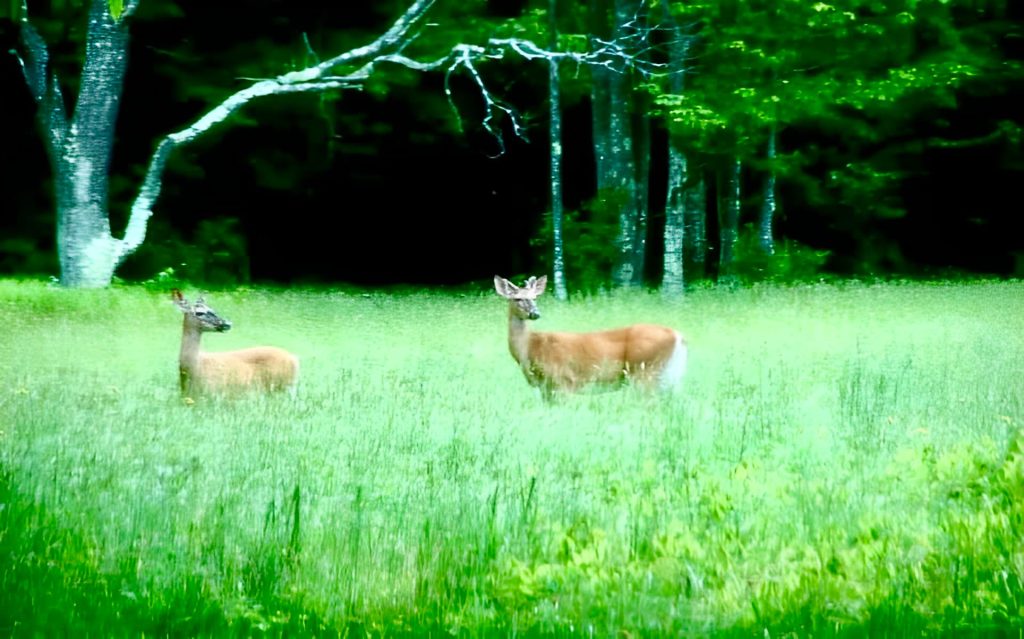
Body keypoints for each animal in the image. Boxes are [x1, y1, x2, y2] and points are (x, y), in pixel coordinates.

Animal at [493, 274, 688, 399]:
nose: (535, 313)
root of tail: (678, 336)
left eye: (535, 297)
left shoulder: (563, 381)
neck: (530, 348)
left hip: (645, 372)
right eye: (517, 299)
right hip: (667, 375)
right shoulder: (545, 388)